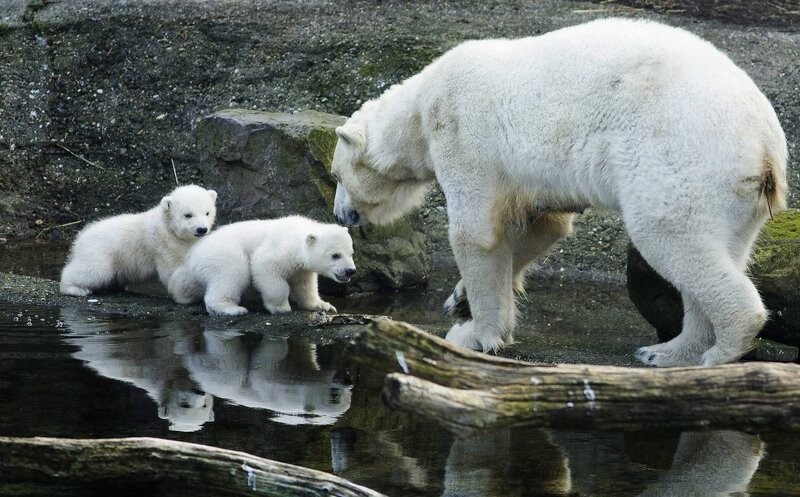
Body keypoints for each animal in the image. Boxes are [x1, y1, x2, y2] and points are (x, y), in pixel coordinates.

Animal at [60, 184, 218, 296]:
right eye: (188, 215)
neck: (168, 225)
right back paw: (75, 289)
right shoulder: (164, 244)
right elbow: (173, 269)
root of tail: (80, 238)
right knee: (94, 270)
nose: (202, 229)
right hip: (100, 251)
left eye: (207, 212)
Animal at [168, 216, 356, 316]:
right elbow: (264, 265)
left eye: (351, 253)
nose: (350, 271)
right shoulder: (281, 248)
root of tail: (193, 257)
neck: (297, 236)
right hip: (223, 253)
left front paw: (323, 305)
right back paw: (232, 308)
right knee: (233, 271)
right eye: (335, 255)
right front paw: (281, 307)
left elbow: (305, 285)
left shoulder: (302, 268)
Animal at [329, 18, 788, 367]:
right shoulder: (534, 180)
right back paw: (668, 351)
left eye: (336, 173)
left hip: (685, 155)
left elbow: (476, 233)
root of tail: (766, 144)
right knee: (719, 250)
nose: (338, 215)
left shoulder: (463, 131)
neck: (420, 109)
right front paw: (459, 300)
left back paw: (720, 350)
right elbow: (541, 227)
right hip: (733, 194)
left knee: (670, 236)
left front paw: (473, 332)